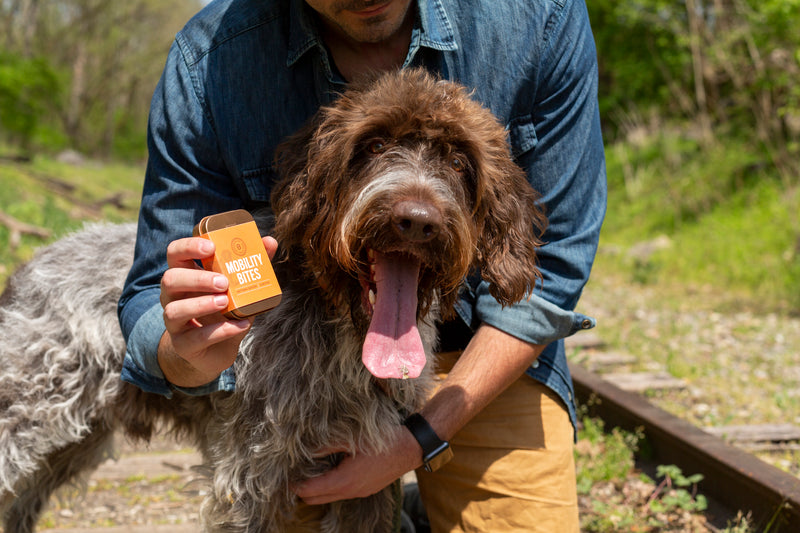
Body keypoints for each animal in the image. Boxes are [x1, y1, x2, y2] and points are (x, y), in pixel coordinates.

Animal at [0, 68, 544, 528]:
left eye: (458, 160)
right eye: (373, 145)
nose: (416, 220)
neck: (339, 329)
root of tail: (32, 263)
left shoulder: (368, 473)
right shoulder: (249, 476)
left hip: (69, 444)